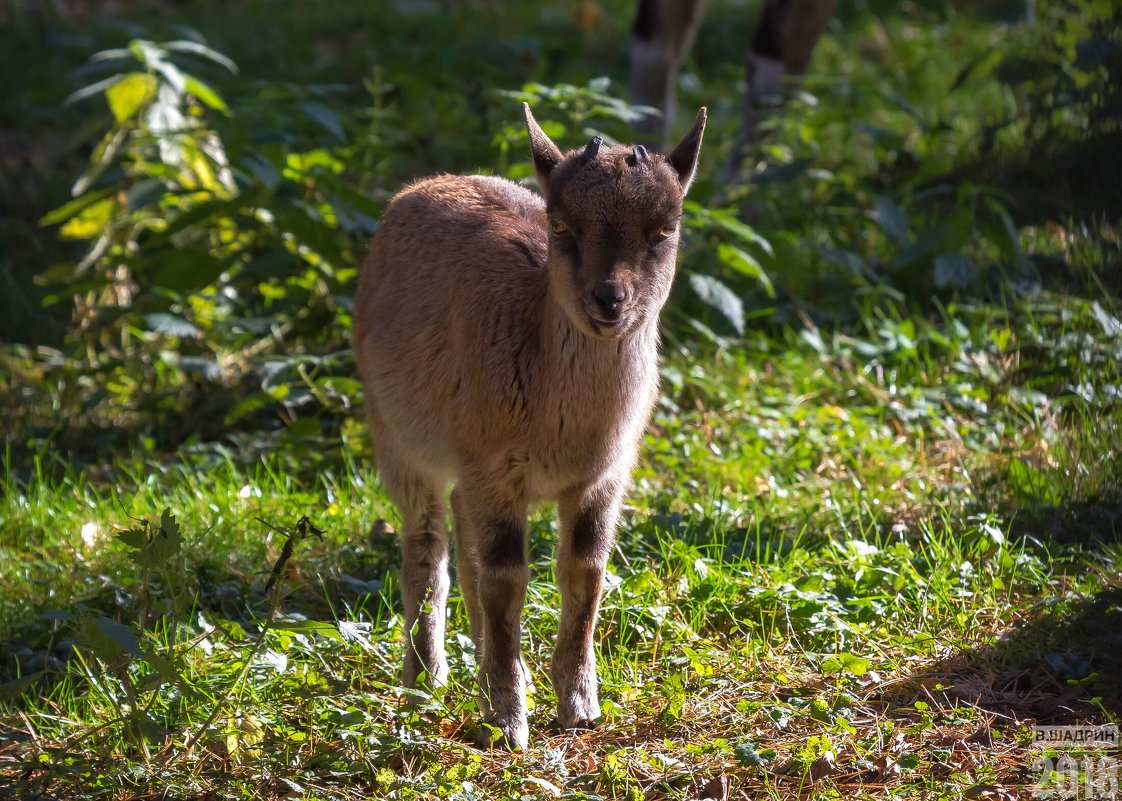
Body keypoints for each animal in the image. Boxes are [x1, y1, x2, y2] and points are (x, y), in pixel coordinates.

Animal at [352, 104, 700, 749]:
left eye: (663, 229)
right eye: (561, 225)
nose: (609, 300)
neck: (561, 428)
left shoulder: (604, 475)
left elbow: (584, 572)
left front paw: (579, 706)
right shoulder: (496, 465)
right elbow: (507, 579)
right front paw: (509, 720)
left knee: (463, 546)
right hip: (396, 438)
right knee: (427, 551)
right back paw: (424, 683)